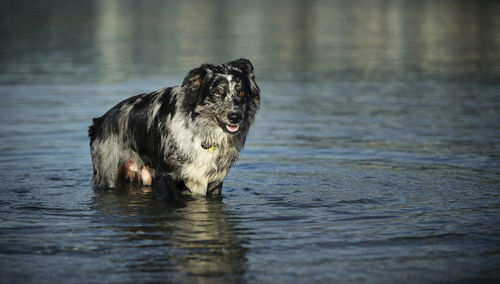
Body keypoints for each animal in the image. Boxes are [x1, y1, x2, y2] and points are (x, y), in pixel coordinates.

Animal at [89, 57, 260, 201]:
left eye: (241, 92)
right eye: (217, 93)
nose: (235, 117)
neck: (202, 134)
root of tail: (99, 121)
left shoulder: (214, 182)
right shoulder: (166, 175)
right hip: (108, 172)